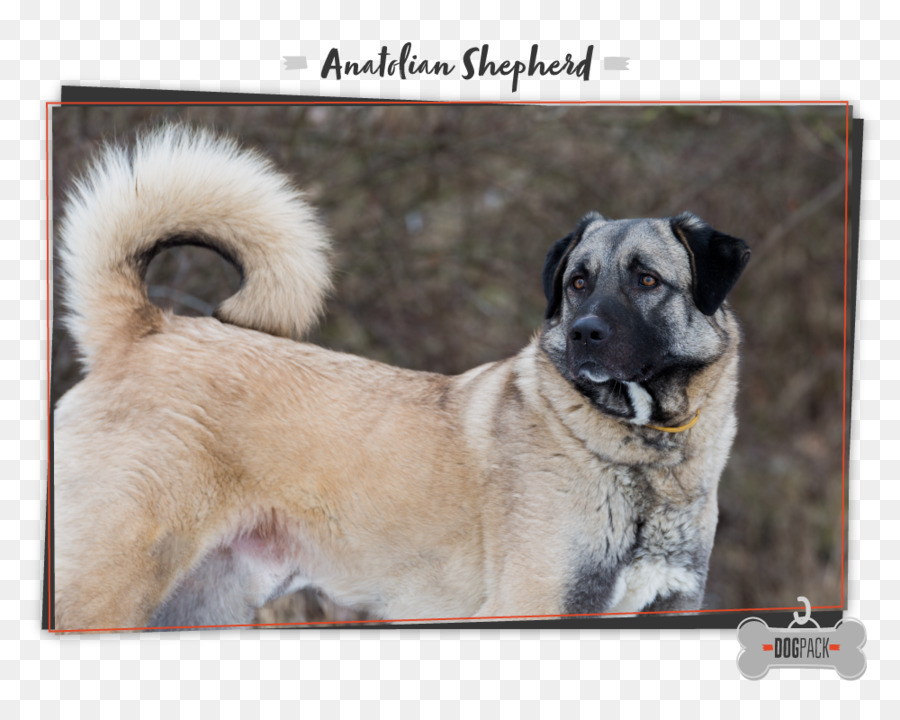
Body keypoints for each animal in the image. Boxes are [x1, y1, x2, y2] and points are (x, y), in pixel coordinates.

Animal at [52, 128, 748, 632]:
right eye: (578, 282)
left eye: (647, 280)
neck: (643, 458)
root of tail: (145, 329)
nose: (584, 335)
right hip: (110, 588)